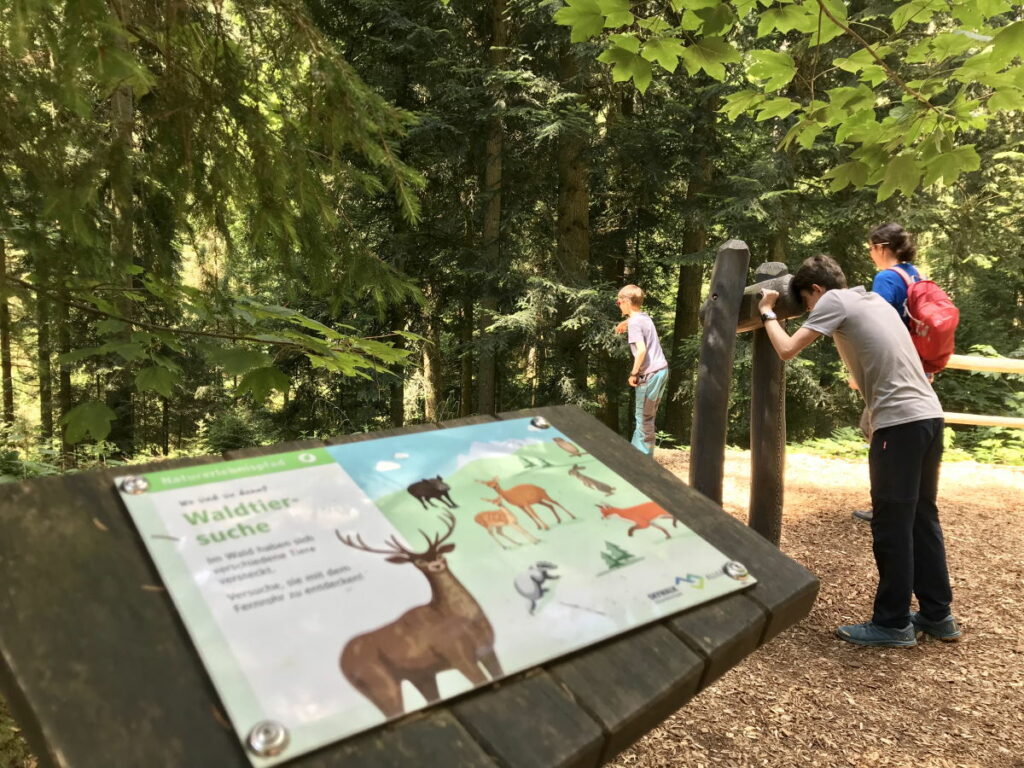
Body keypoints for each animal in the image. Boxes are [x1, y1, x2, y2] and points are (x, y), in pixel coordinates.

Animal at [333, 514, 501, 720]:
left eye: (439, 553)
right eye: (418, 562)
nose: (436, 564)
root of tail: (342, 662)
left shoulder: (488, 648)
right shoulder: (457, 656)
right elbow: (480, 680)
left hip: (419, 677)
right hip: (379, 682)